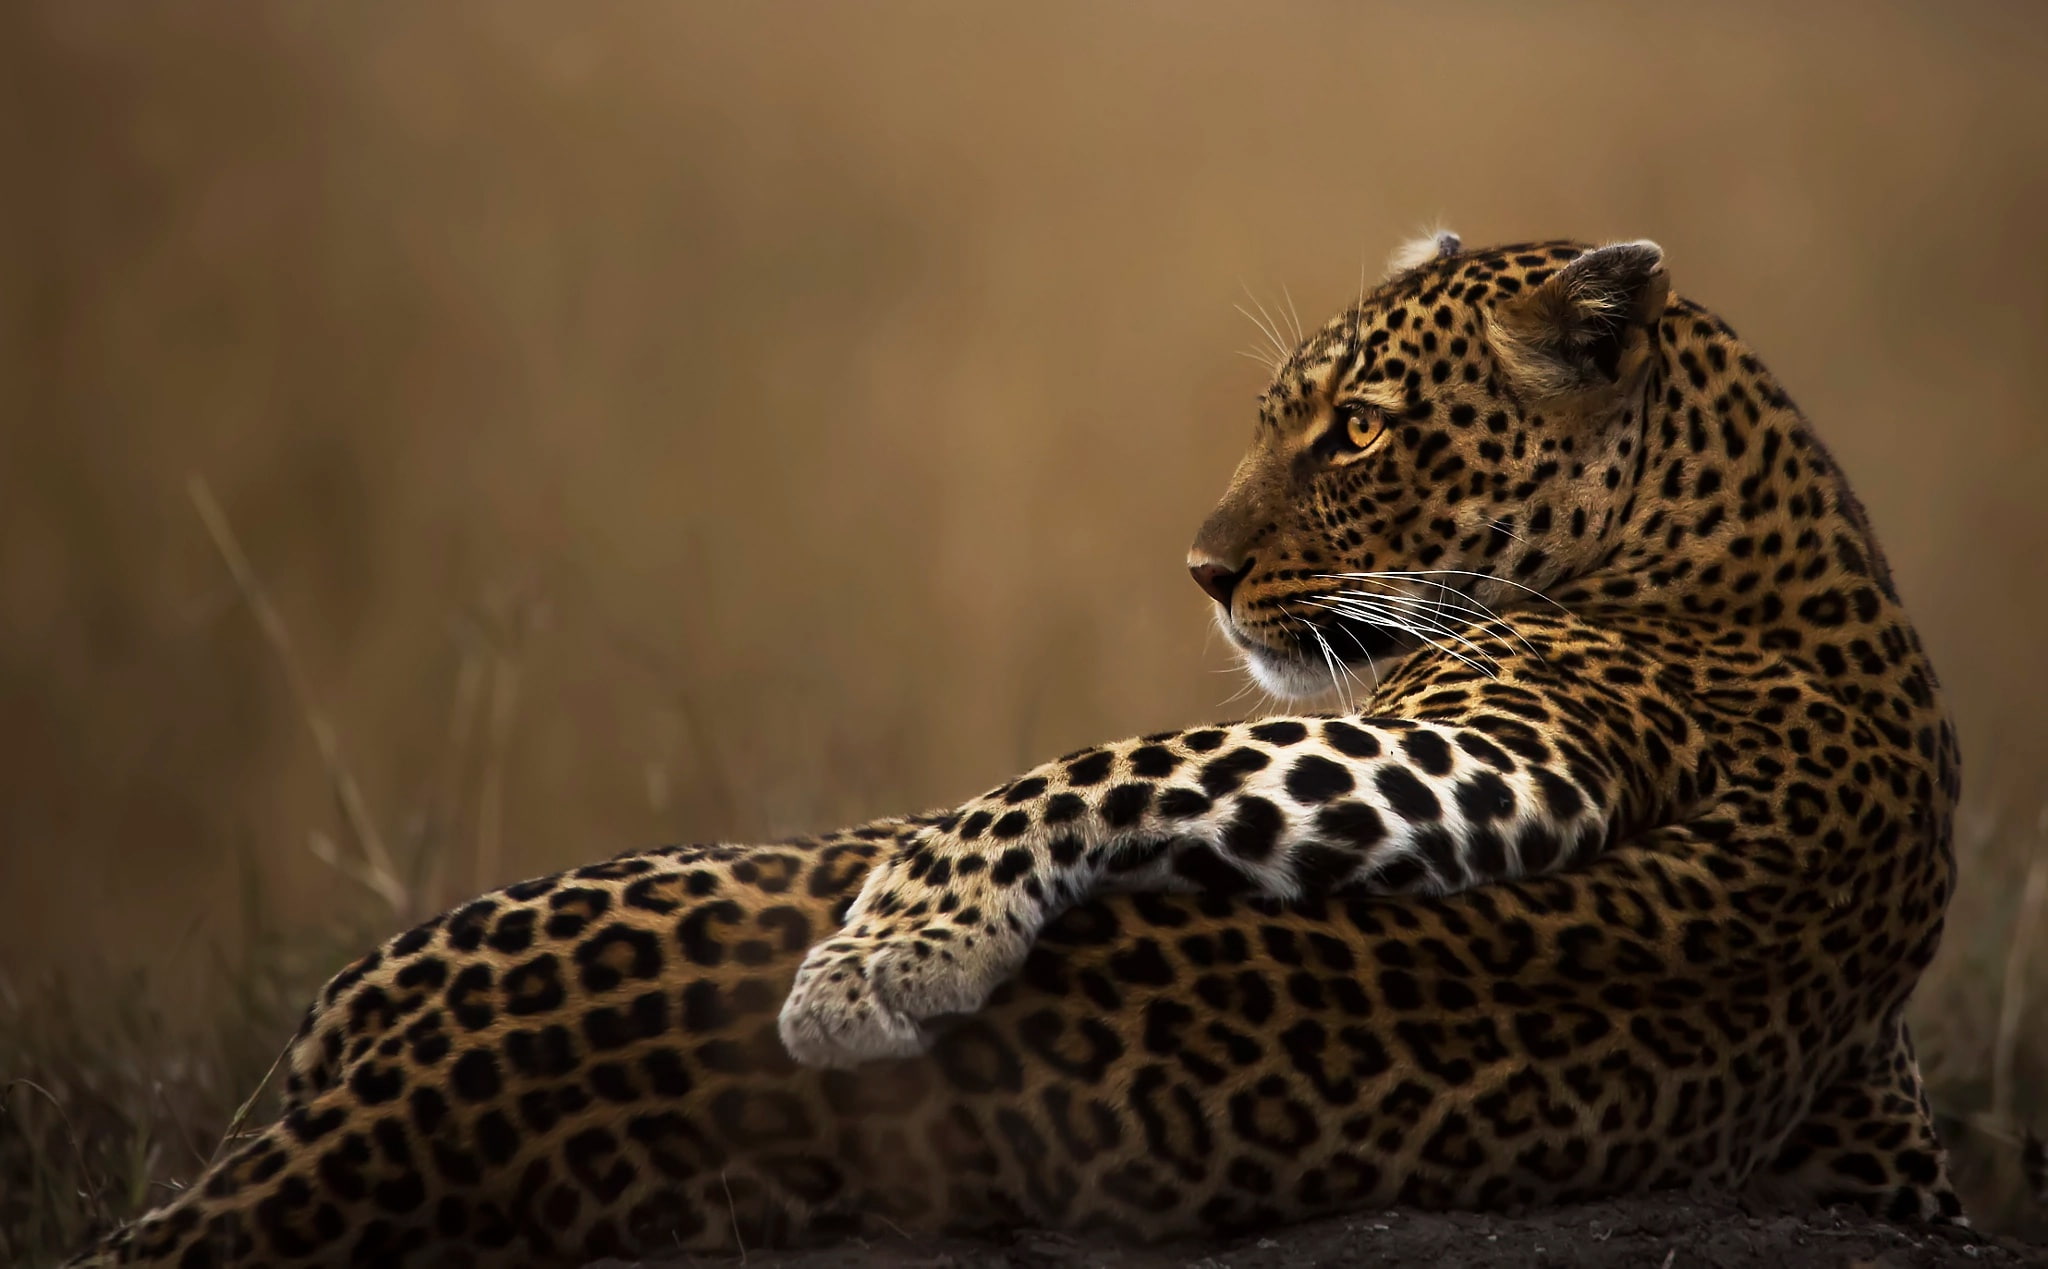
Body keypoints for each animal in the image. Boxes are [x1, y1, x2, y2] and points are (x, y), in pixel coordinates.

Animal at [70, 232, 1963, 1269]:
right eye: (1273, 416)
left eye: (1356, 431)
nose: (1198, 567)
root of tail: (421, 1089)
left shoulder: (1516, 741)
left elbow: (1115, 761)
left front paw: (885, 951)